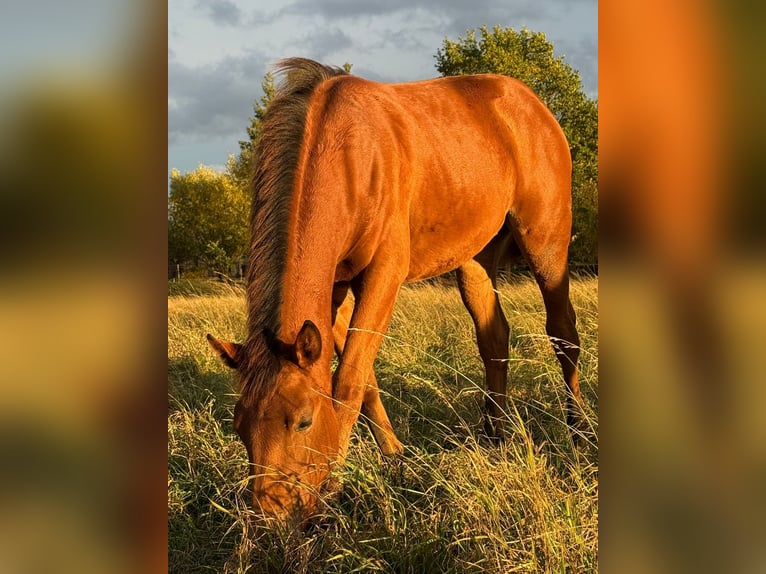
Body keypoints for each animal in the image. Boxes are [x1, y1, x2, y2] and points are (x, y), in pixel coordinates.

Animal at [207, 58, 582, 520]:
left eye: (303, 421)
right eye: (240, 425)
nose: (272, 516)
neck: (348, 154)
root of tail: (532, 104)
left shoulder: (384, 273)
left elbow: (349, 379)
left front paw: (336, 483)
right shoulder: (334, 288)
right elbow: (361, 378)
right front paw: (394, 458)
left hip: (546, 242)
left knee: (563, 332)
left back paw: (579, 435)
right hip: (475, 259)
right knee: (494, 337)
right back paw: (495, 437)